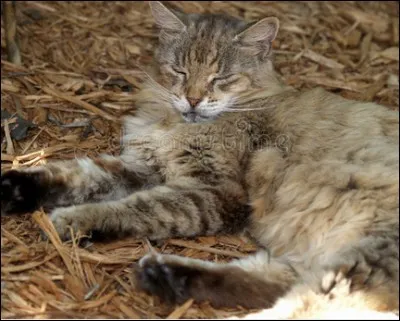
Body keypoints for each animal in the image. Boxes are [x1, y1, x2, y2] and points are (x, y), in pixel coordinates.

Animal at [1, 0, 398, 318]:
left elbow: (138, 207)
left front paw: (74, 219)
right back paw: (162, 275)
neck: (176, 124)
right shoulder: (143, 166)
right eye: (181, 72)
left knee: (301, 304)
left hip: (362, 261)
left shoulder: (212, 189)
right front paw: (15, 186)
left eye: (220, 79)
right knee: (268, 283)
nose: (192, 100)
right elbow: (78, 174)